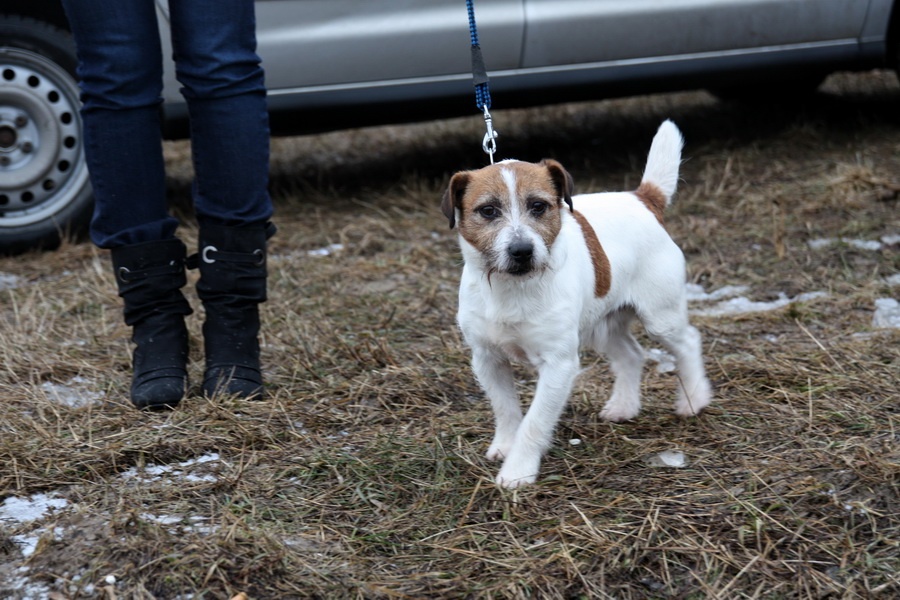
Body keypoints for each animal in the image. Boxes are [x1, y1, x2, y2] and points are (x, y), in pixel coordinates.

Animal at [442, 120, 712, 488]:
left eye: (538, 206)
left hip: (660, 317)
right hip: (602, 324)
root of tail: (642, 198)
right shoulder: (487, 359)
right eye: (488, 211)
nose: (522, 251)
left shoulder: (558, 364)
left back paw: (693, 399)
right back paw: (624, 406)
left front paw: (518, 470)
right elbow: (506, 410)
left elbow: (534, 421)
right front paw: (506, 445)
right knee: (631, 354)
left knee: (688, 342)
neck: (513, 288)